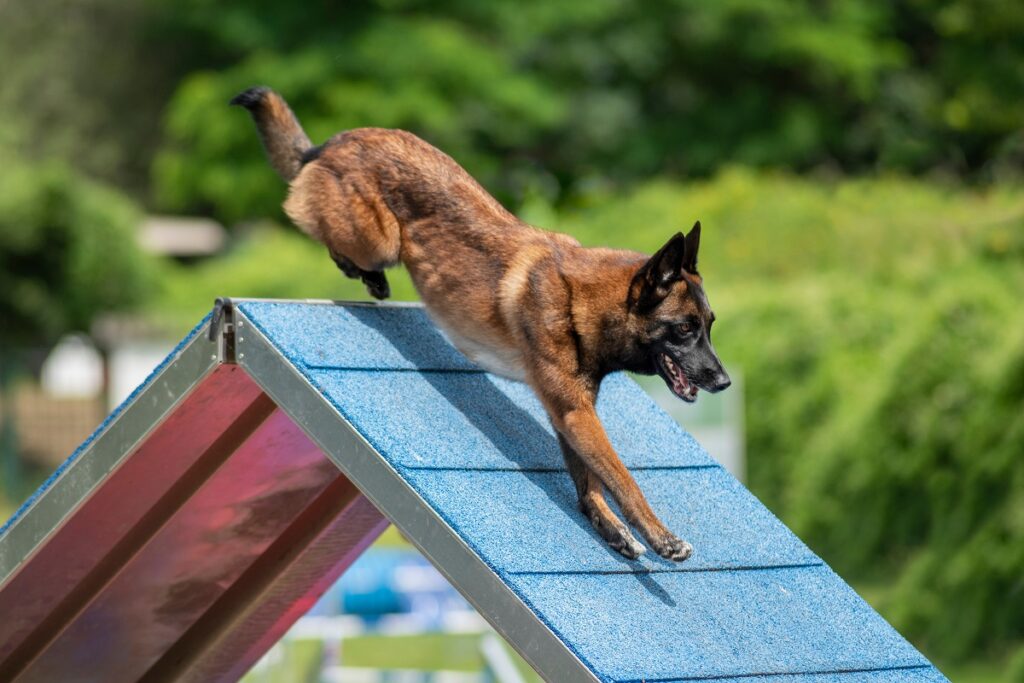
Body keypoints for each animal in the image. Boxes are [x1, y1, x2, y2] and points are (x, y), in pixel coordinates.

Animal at [234, 85, 729, 561]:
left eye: (709, 325)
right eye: (684, 329)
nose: (724, 382)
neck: (583, 302)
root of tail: (336, 140)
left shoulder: (570, 412)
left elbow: (589, 480)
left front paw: (610, 529)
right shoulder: (576, 412)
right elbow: (624, 479)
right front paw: (662, 538)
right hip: (378, 239)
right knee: (306, 213)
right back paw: (365, 273)